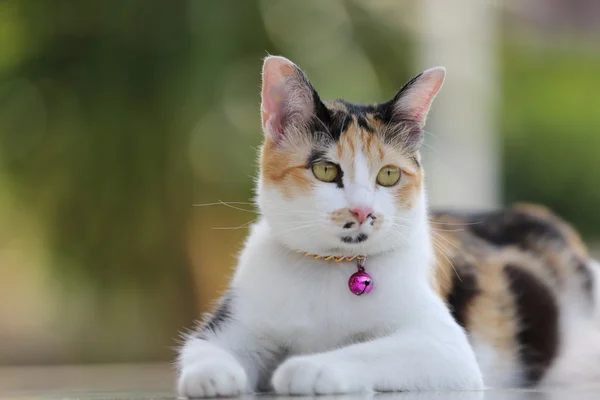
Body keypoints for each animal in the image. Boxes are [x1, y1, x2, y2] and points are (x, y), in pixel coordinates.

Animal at [176, 56, 600, 396]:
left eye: (389, 175)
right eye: (326, 170)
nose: (363, 211)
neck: (329, 268)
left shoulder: (445, 347)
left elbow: (369, 349)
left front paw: (309, 367)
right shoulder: (230, 324)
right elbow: (202, 349)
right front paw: (210, 377)